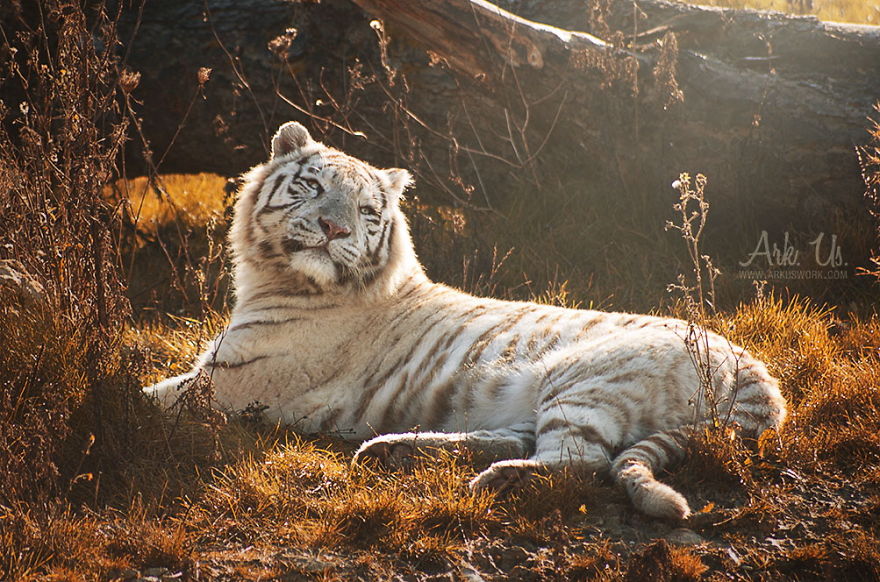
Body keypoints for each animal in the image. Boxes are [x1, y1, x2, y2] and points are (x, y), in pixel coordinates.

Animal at [147, 121, 787, 520]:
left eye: (367, 210)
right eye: (312, 186)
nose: (334, 228)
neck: (277, 278)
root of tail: (754, 368)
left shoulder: (231, 381)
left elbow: (144, 395)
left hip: (584, 379)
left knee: (580, 462)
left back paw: (496, 480)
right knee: (521, 436)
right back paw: (391, 451)